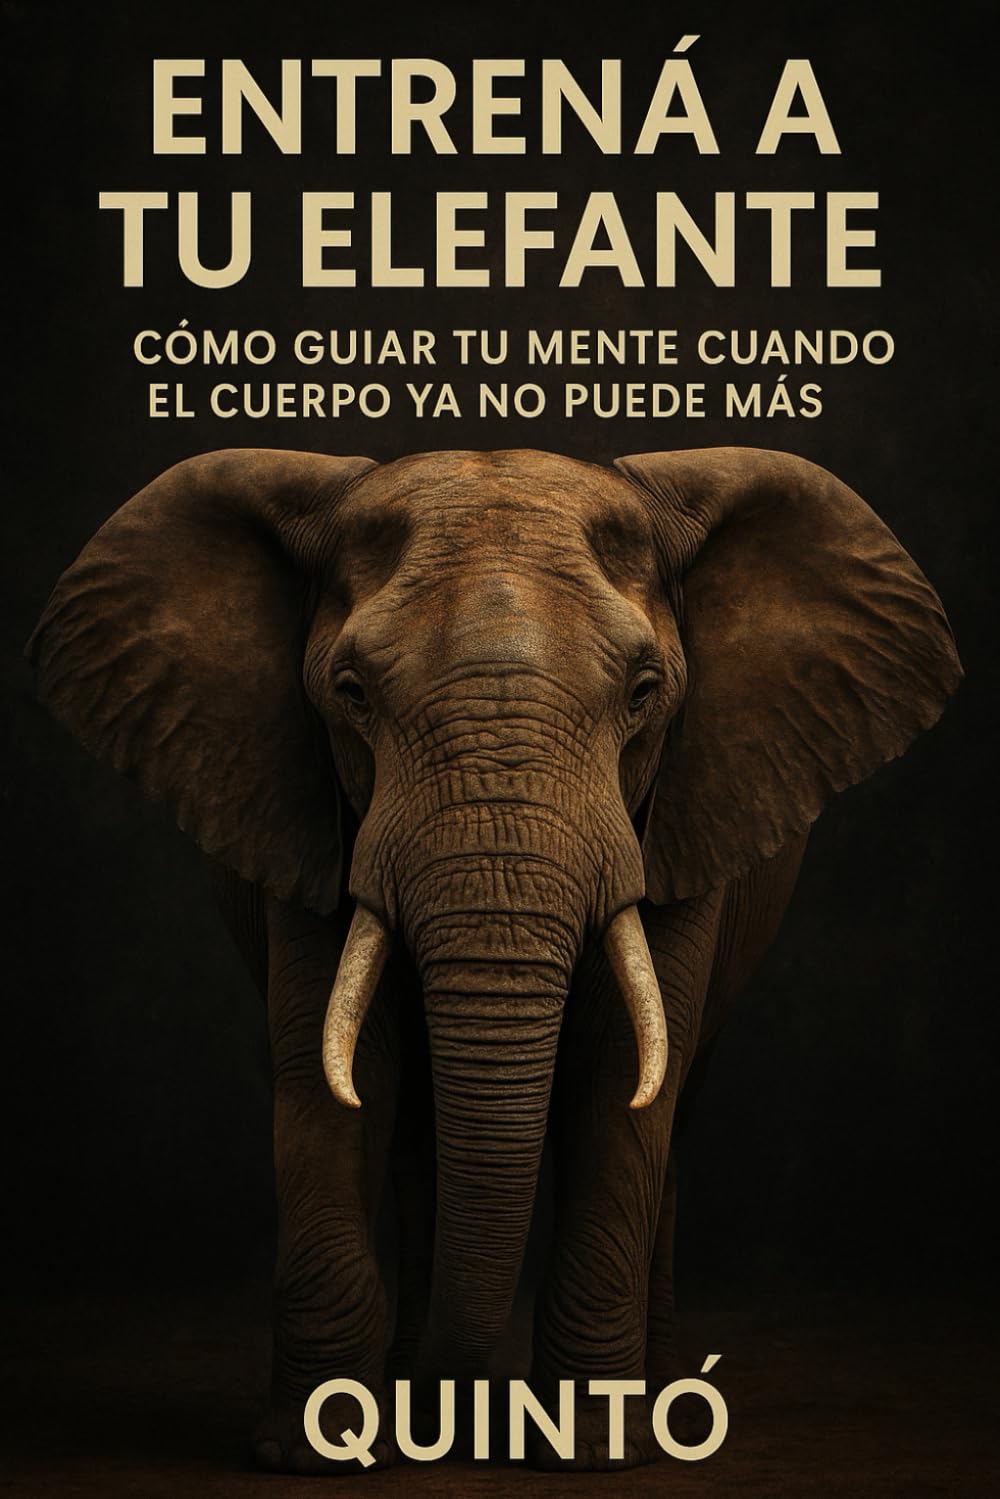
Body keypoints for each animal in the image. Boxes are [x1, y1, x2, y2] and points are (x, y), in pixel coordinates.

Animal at [28, 445, 960, 1472]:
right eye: (351, 693)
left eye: (645, 693)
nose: (468, 1400)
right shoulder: (306, 811)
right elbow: (338, 1077)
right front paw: (321, 1448)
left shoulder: (683, 810)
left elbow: (618, 1080)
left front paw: (597, 1449)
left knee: (672, 1110)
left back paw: (659, 1404)